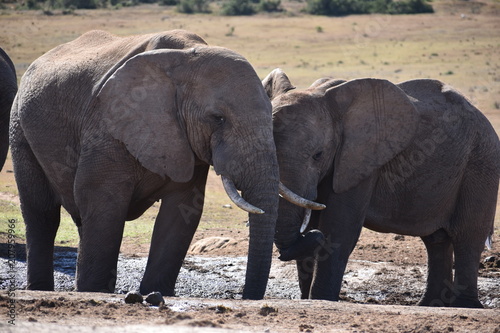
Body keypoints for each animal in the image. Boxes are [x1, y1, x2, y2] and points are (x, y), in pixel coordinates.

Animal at [9, 29, 318, 296]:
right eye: (217, 119)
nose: (315, 235)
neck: (185, 58)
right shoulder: (108, 126)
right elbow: (103, 202)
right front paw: (93, 292)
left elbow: (181, 211)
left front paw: (153, 293)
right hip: (19, 127)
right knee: (42, 213)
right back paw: (41, 289)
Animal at [264, 68, 498, 308]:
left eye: (318, 155)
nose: (312, 235)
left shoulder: (361, 158)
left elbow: (341, 230)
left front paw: (322, 300)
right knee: (437, 241)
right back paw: (429, 305)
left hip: (481, 164)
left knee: (467, 238)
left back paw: (465, 305)